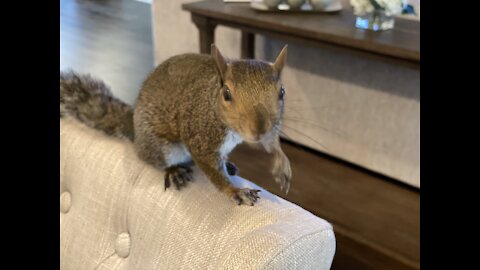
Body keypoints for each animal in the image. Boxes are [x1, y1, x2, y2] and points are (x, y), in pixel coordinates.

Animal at [61, 44, 292, 206]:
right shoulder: (199, 134)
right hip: (163, 148)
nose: (259, 129)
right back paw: (174, 171)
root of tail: (134, 131)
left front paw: (282, 164)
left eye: (282, 92)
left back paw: (228, 163)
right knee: (160, 160)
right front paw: (234, 191)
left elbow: (272, 142)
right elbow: (210, 168)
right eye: (226, 94)